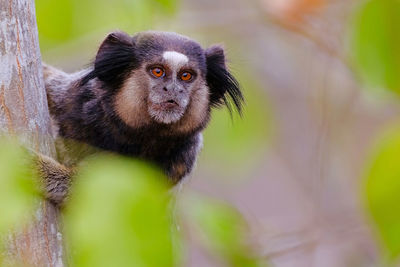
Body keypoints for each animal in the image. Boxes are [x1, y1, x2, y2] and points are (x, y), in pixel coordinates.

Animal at [38, 30, 244, 205]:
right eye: (157, 71)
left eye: (186, 76)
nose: (173, 89)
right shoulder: (73, 98)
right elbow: (51, 84)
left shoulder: (180, 162)